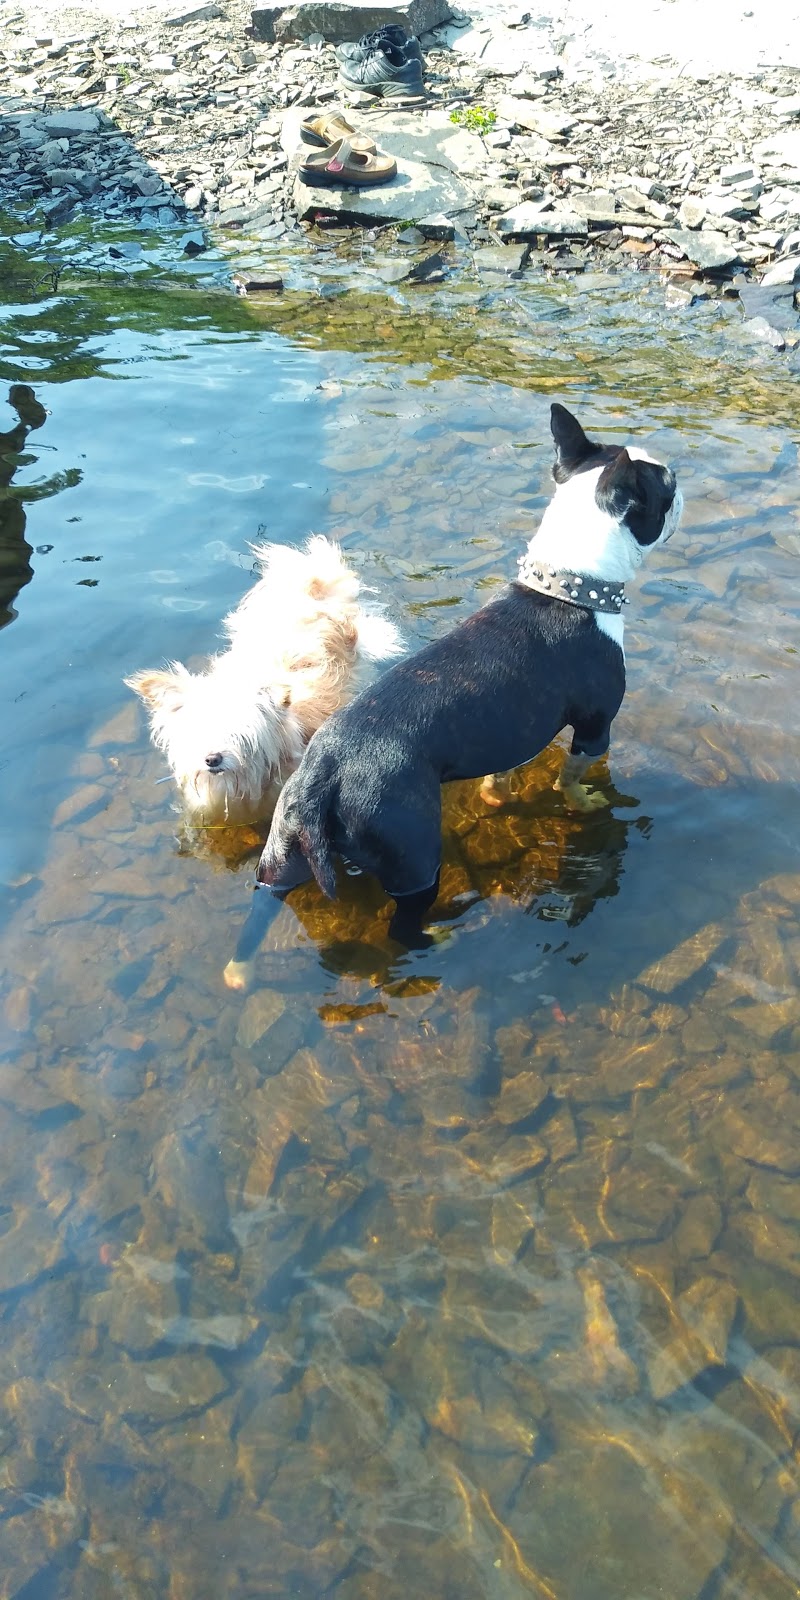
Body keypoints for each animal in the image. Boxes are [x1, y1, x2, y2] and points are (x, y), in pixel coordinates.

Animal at [224, 406, 681, 979]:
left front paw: (496, 795)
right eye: (666, 486)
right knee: (402, 924)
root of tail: (322, 775)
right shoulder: (596, 727)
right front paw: (583, 800)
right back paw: (440, 940)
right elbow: (569, 779)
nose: (682, 483)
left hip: (283, 851)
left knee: (266, 898)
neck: (569, 589)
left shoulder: (511, 731)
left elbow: (503, 774)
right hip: (415, 854)